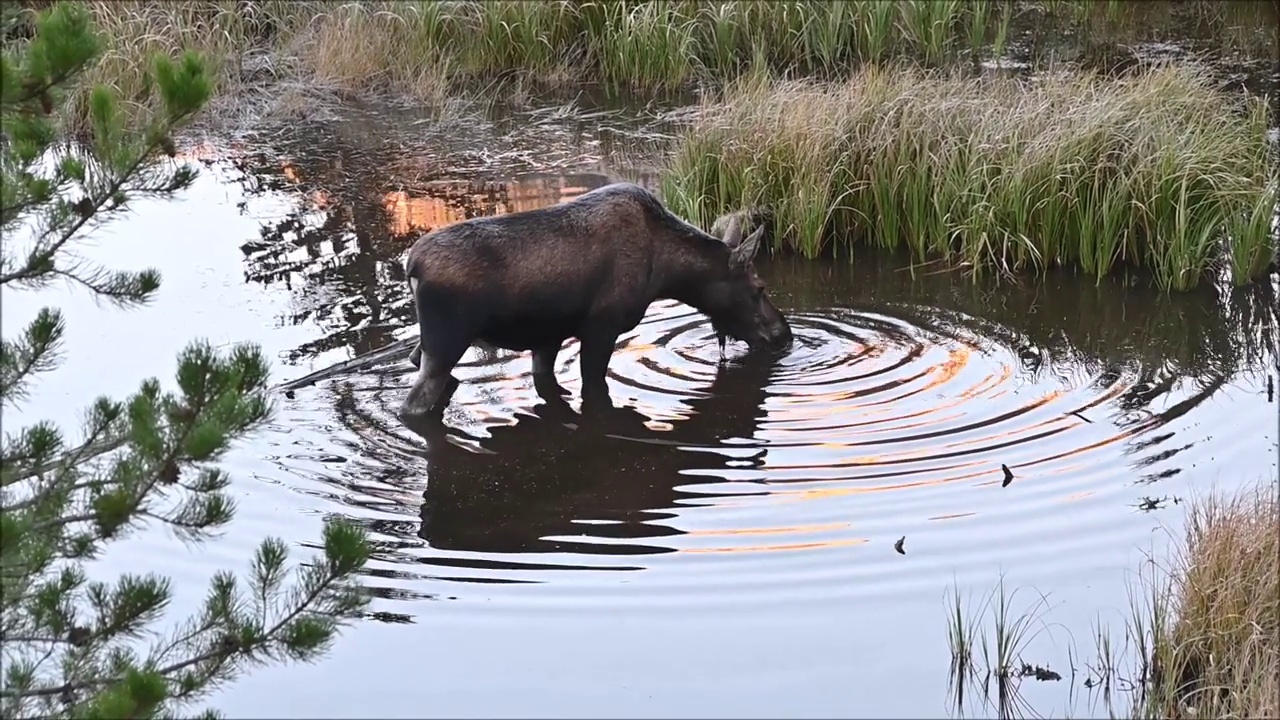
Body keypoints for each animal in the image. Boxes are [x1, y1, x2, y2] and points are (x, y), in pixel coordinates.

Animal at [399, 180, 788, 420]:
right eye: (759, 287)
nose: (784, 334)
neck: (666, 272)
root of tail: (411, 265)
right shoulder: (602, 327)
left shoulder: (548, 338)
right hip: (447, 341)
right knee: (413, 403)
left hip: (432, 343)